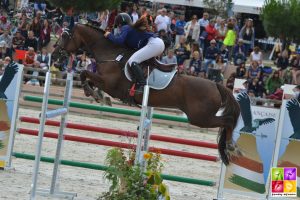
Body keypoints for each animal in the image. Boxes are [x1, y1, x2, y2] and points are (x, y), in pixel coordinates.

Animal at [51, 23, 241, 166]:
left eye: (65, 36)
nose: (54, 56)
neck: (112, 54)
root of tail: (216, 84)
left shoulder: (110, 85)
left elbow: (85, 73)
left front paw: (94, 93)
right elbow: (88, 77)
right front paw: (95, 94)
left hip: (200, 118)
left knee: (228, 120)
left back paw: (231, 145)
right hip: (201, 117)